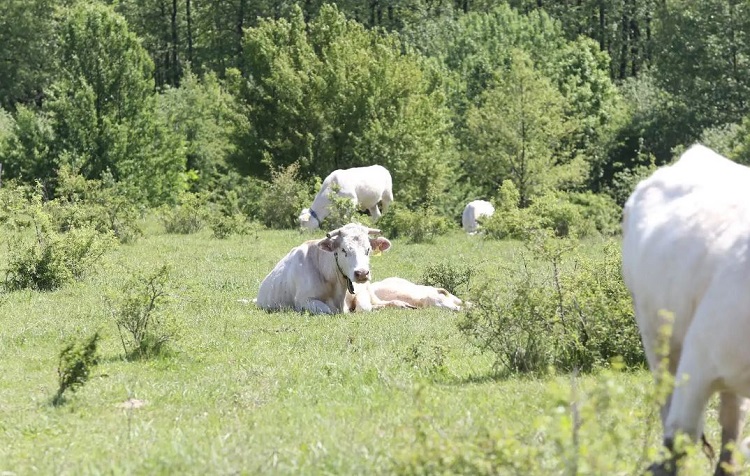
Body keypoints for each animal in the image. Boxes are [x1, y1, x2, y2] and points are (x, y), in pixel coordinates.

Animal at [258, 225, 412, 314]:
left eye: (368, 249)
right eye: (343, 250)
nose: (362, 273)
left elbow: (364, 307)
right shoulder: (303, 301)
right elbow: (328, 310)